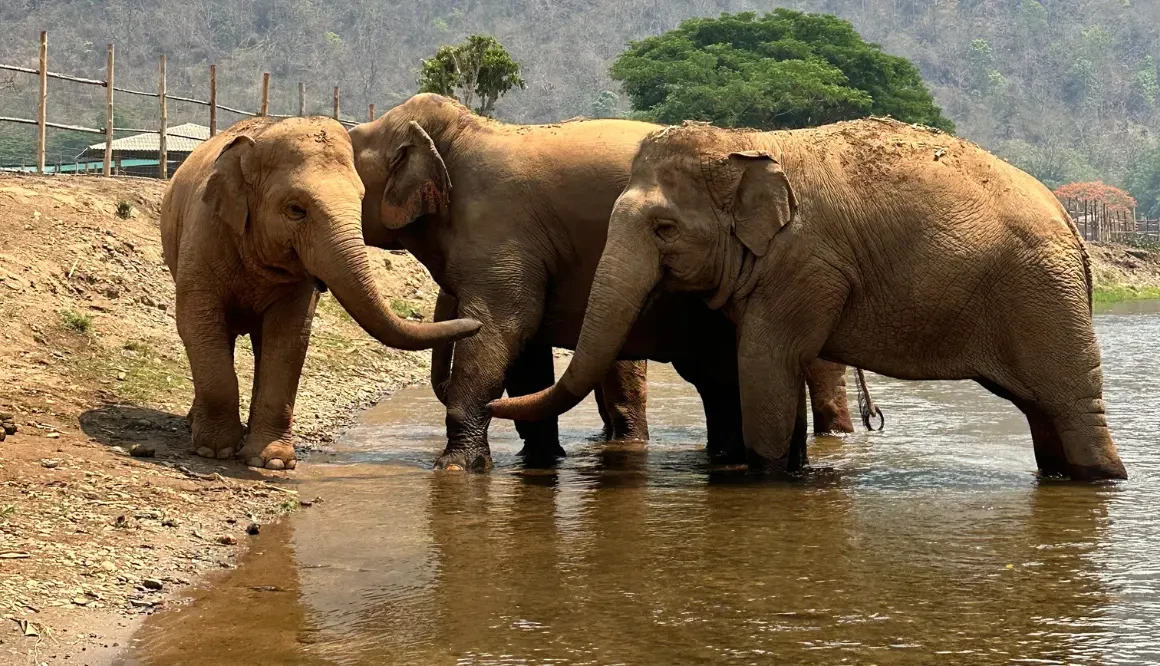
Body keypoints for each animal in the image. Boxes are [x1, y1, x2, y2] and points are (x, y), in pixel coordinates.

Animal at [160, 116, 481, 470]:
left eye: (361, 200)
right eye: (296, 209)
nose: (476, 325)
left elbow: (291, 337)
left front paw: (272, 461)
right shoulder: (204, 236)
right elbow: (196, 321)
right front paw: (214, 451)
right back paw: (197, 425)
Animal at [350, 94, 868, 471]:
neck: (459, 131)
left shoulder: (499, 229)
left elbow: (503, 326)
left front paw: (456, 469)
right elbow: (525, 347)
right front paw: (539, 461)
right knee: (721, 378)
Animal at [488, 118, 1126, 481]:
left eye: (664, 228)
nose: (489, 404)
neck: (748, 144)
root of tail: (1072, 223)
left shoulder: (804, 264)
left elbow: (764, 362)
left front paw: (766, 479)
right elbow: (777, 368)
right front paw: (794, 470)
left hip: (1043, 296)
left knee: (1070, 403)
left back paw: (1102, 478)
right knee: (1042, 410)